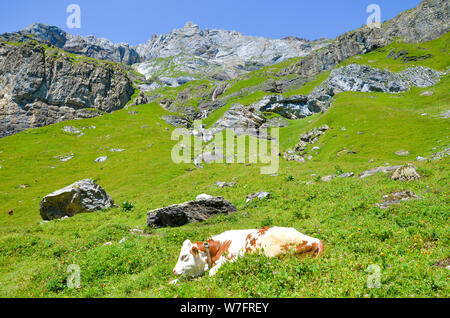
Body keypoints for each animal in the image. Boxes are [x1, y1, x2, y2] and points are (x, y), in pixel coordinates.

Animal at [170, 226, 324, 284]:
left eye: (184, 256)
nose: (174, 270)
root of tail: (313, 239)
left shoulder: (234, 259)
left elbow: (211, 273)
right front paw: (173, 281)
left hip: (270, 251)